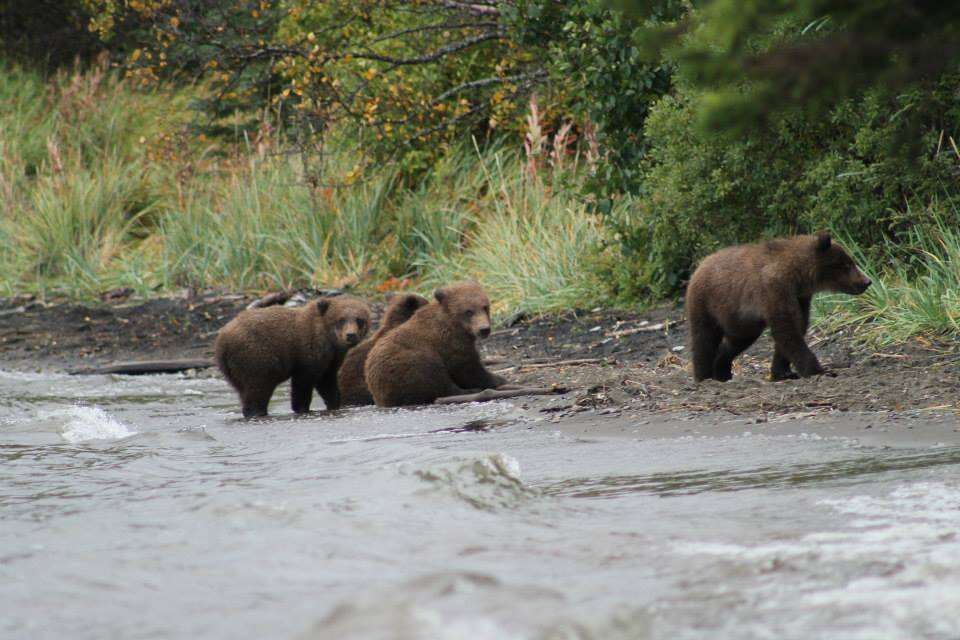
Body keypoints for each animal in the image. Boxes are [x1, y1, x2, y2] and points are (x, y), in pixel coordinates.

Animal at [215, 294, 372, 418]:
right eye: (341, 319)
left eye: (359, 319)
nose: (350, 335)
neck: (329, 341)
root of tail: (222, 339)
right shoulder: (307, 352)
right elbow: (303, 382)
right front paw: (302, 408)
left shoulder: (331, 360)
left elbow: (327, 382)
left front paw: (334, 403)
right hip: (255, 355)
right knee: (258, 387)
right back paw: (257, 412)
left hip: (232, 368)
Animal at [364, 282, 510, 408]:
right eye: (469, 311)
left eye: (485, 307)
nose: (484, 329)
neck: (456, 324)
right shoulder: (449, 342)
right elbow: (467, 367)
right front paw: (498, 379)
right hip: (409, 365)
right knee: (437, 380)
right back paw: (469, 391)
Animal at [684, 236, 872, 382]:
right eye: (846, 264)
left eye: (851, 262)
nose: (867, 281)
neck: (799, 277)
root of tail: (701, 264)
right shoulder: (774, 289)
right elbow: (786, 328)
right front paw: (819, 370)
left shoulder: (800, 298)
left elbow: (797, 326)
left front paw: (783, 372)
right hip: (706, 302)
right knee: (704, 337)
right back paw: (704, 376)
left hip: (740, 317)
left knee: (737, 339)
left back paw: (722, 371)